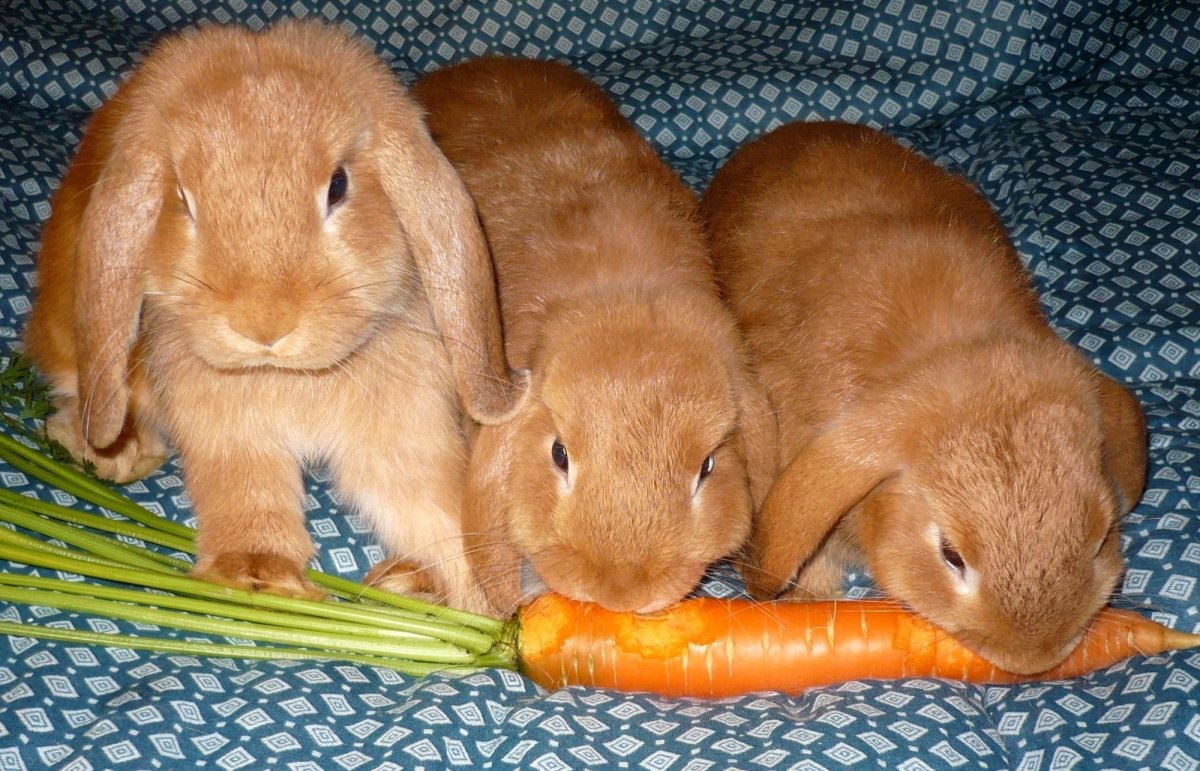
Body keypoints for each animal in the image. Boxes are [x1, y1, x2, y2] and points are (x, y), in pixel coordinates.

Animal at [22, 21, 527, 611]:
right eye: (183, 198)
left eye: (339, 185)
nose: (263, 324)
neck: (287, 376)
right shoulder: (231, 434)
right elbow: (246, 491)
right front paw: (258, 578)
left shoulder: (402, 432)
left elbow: (433, 509)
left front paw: (479, 599)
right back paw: (114, 454)